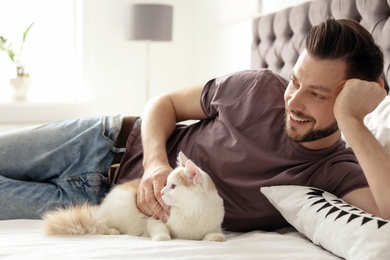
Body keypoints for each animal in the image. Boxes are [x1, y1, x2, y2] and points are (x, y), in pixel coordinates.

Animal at [42, 151, 225, 243]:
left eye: (173, 186)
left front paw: (216, 237)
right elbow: (162, 230)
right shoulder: (153, 219)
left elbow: (212, 233)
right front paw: (162, 239)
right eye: (165, 184)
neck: (191, 210)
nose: (161, 193)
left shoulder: (212, 223)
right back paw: (113, 231)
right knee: (102, 226)